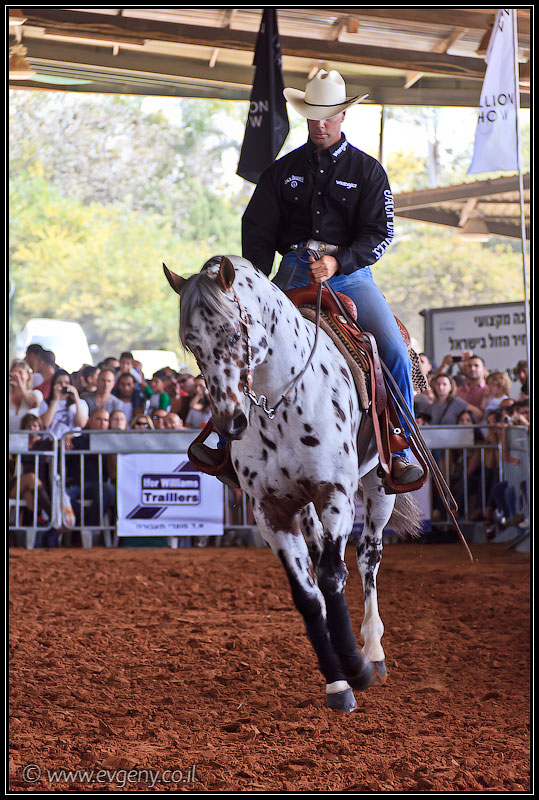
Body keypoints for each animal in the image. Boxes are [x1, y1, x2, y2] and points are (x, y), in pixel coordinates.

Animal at [163, 254, 421, 713]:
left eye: (234, 332)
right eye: (190, 343)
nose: (231, 422)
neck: (282, 399)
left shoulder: (335, 495)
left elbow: (333, 576)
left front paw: (356, 667)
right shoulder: (272, 510)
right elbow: (306, 594)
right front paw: (337, 683)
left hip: (378, 487)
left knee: (368, 559)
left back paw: (373, 651)